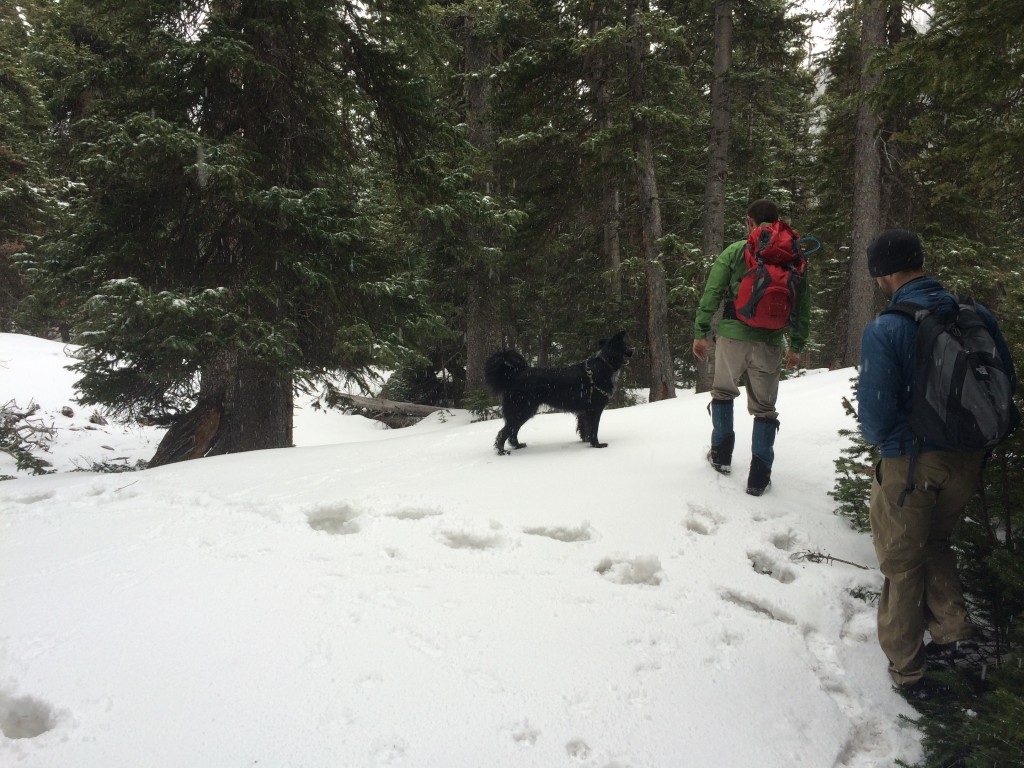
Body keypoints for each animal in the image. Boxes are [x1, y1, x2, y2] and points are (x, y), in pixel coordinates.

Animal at [481, 331, 630, 454]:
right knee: (504, 432)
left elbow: (584, 428)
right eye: (625, 346)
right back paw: (502, 451)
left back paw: (517, 446)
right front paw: (597, 445)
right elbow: (593, 429)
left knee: (512, 431)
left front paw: (586, 441)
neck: (605, 363)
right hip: (522, 410)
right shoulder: (594, 409)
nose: (632, 351)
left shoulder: (584, 411)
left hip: (523, 411)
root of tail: (514, 375)